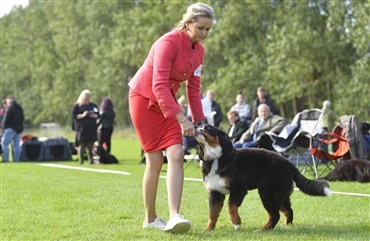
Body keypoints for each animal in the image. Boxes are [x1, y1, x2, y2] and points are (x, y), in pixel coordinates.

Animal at [192, 124, 330, 232]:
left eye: (207, 127)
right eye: (199, 124)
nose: (194, 126)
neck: (215, 159)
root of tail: (287, 162)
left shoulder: (239, 189)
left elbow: (231, 206)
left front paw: (236, 223)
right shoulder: (215, 193)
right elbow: (212, 214)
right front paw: (208, 230)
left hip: (268, 193)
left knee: (274, 215)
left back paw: (262, 230)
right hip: (279, 195)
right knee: (288, 211)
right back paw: (285, 225)